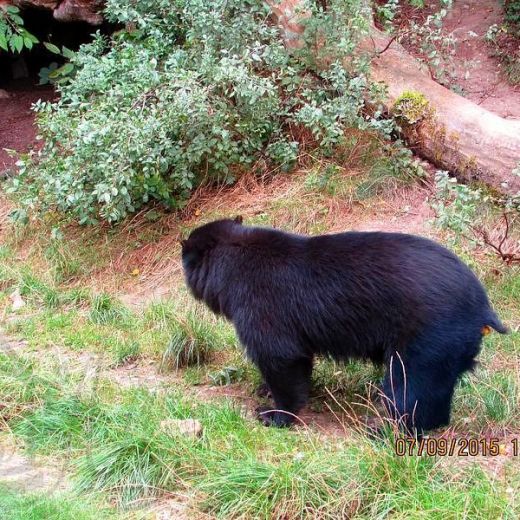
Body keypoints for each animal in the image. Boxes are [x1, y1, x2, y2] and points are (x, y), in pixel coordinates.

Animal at [181, 217, 506, 432]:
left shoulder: (261, 304)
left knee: (413, 385)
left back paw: (387, 430)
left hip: (428, 336)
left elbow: (280, 355)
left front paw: (273, 414)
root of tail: (483, 308)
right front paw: (264, 389)